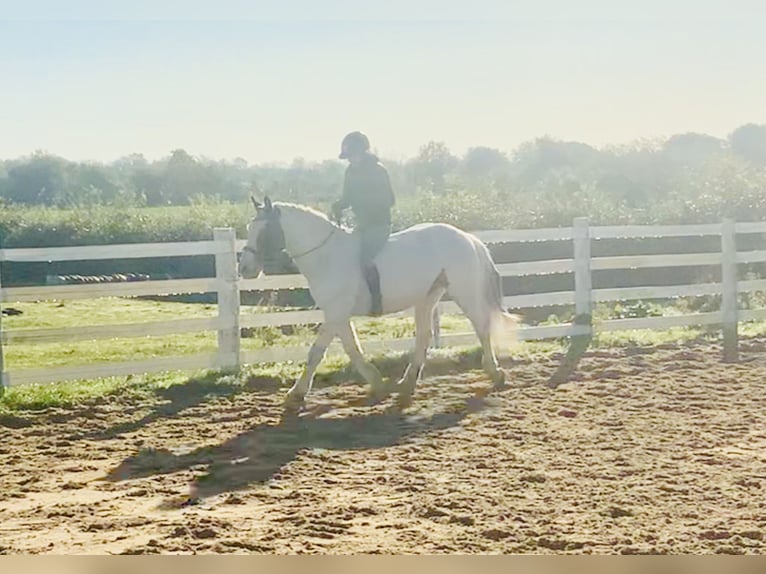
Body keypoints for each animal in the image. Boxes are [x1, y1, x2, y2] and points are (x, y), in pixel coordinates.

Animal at [240, 197, 520, 410]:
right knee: (424, 336)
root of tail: (468, 238)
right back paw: (407, 383)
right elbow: (352, 349)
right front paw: (377, 383)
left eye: (263, 232)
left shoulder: (335, 313)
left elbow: (316, 353)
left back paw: (495, 373)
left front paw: (295, 394)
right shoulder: (338, 315)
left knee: (481, 327)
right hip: (427, 297)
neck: (326, 256)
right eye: (249, 229)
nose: (245, 268)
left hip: (464, 292)